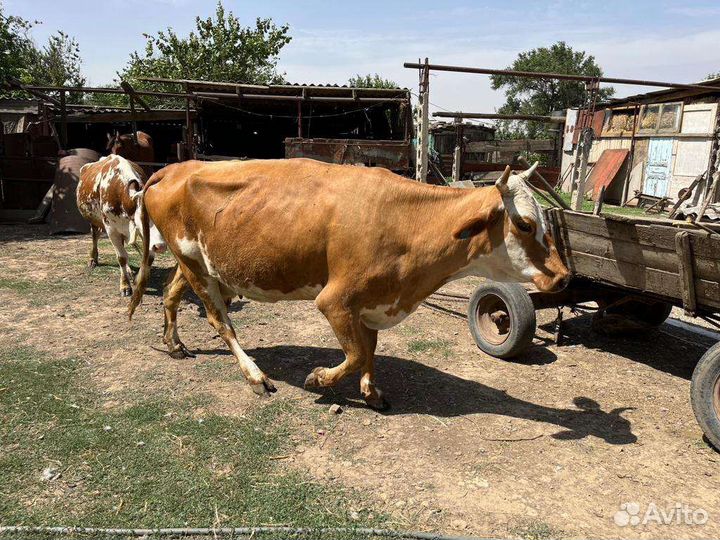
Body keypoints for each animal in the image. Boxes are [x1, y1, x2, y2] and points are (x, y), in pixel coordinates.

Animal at [76, 154, 166, 296]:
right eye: (143, 218)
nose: (160, 246)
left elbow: (146, 257)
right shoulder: (111, 229)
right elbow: (122, 257)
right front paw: (125, 286)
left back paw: (128, 270)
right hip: (94, 220)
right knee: (95, 236)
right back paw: (93, 259)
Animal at [129, 158, 569, 409]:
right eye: (525, 224)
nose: (563, 276)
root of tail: (176, 167)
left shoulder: (371, 302)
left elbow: (370, 349)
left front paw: (371, 393)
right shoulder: (335, 300)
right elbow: (356, 353)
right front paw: (320, 379)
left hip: (196, 263)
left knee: (170, 295)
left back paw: (175, 344)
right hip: (196, 267)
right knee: (221, 321)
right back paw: (255, 376)